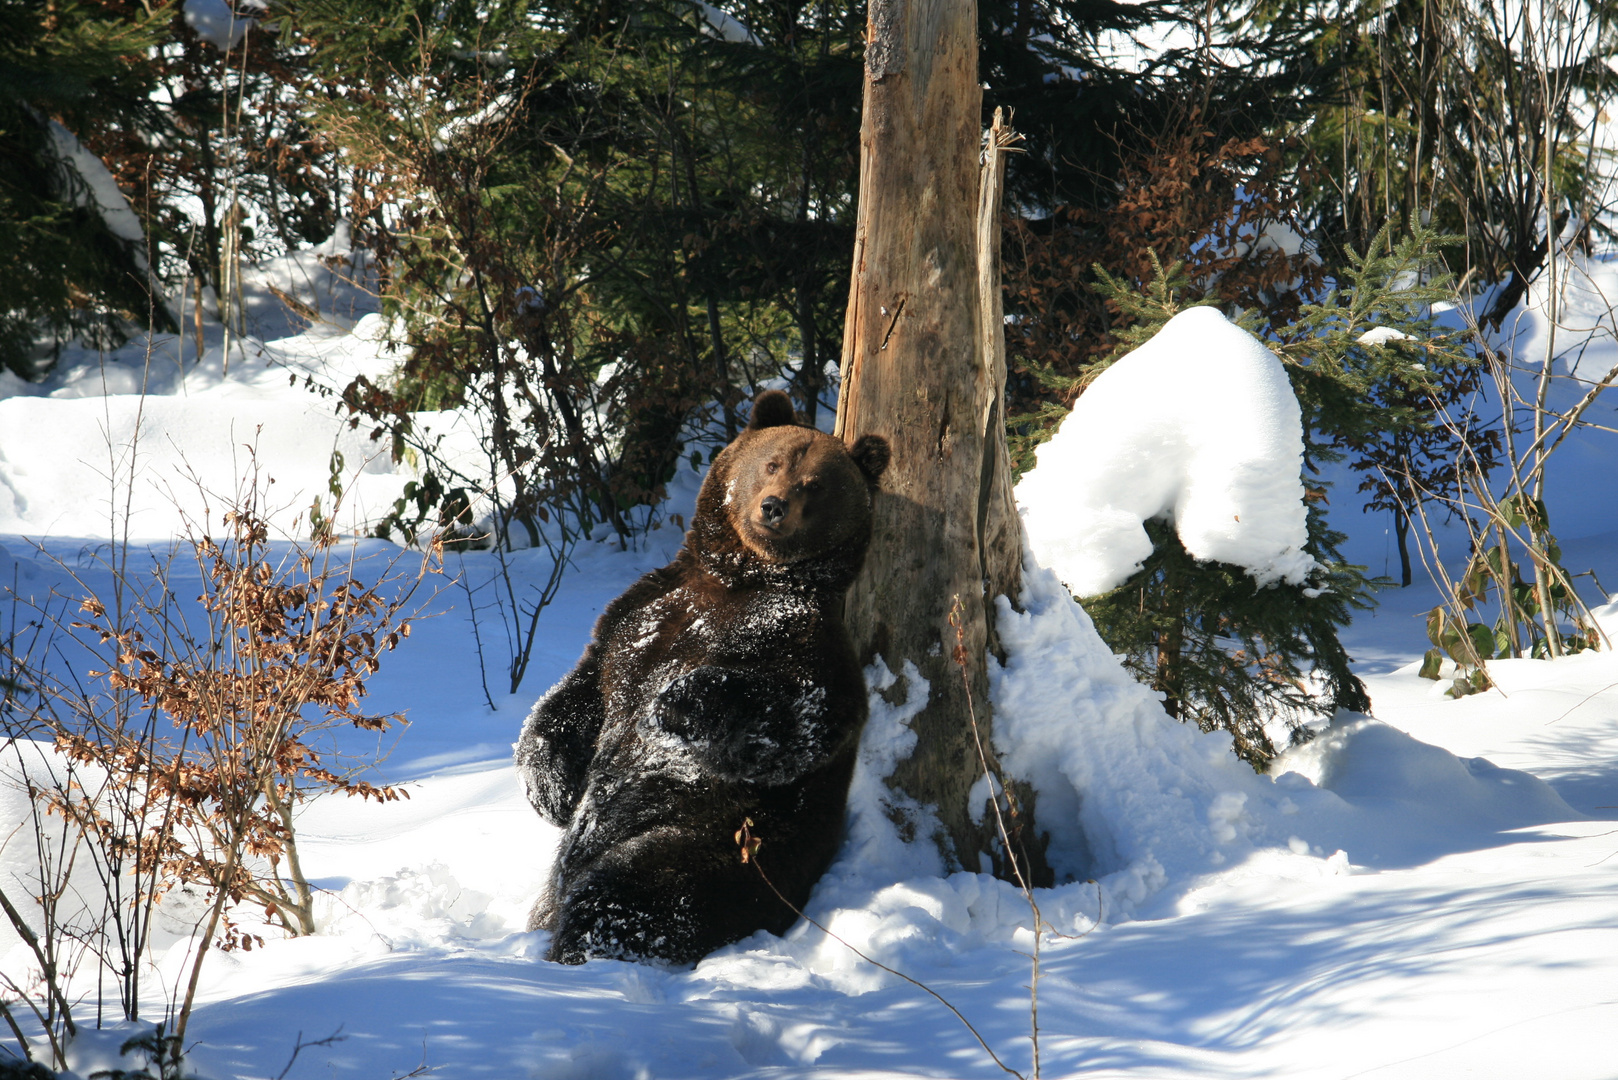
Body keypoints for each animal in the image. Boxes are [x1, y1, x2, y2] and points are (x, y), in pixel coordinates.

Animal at [514, 393, 893, 965]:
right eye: (773, 463)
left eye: (816, 483)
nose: (774, 507)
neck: (740, 577)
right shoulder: (640, 614)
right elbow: (582, 691)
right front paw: (548, 788)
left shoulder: (803, 640)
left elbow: (803, 716)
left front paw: (678, 703)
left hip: (711, 842)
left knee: (628, 894)